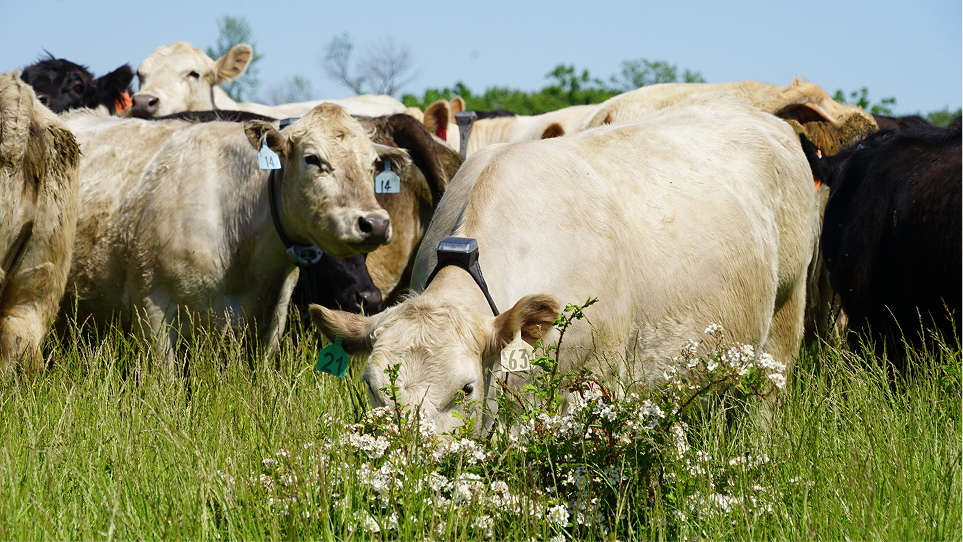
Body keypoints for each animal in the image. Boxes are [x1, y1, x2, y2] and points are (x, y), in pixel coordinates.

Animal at [309, 93, 824, 433]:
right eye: (374, 390)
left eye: (465, 390)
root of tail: (766, 120)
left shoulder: (601, 381)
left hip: (787, 307)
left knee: (765, 400)